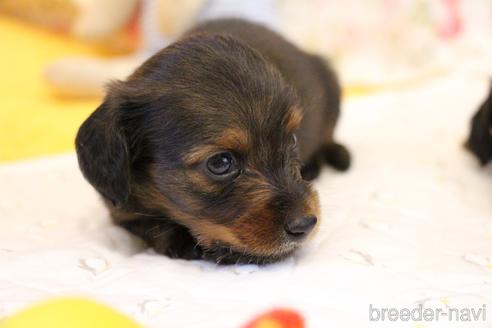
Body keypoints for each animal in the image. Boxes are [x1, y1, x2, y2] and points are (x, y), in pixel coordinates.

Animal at [75, 18, 350, 264]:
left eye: (292, 139)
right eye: (220, 163)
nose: (306, 224)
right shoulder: (120, 209)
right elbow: (149, 224)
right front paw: (183, 240)